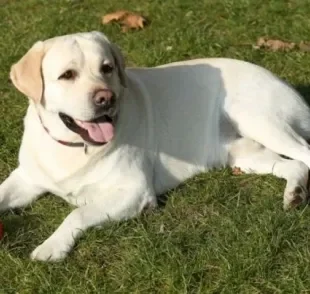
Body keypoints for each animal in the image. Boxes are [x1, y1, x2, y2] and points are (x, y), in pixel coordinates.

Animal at [3, 31, 310, 262]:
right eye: (67, 75)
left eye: (107, 68)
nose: (106, 98)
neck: (74, 147)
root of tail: (281, 81)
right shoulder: (26, 178)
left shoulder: (134, 192)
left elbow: (77, 213)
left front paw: (51, 247)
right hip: (242, 154)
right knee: (295, 165)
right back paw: (294, 194)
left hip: (257, 118)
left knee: (304, 154)